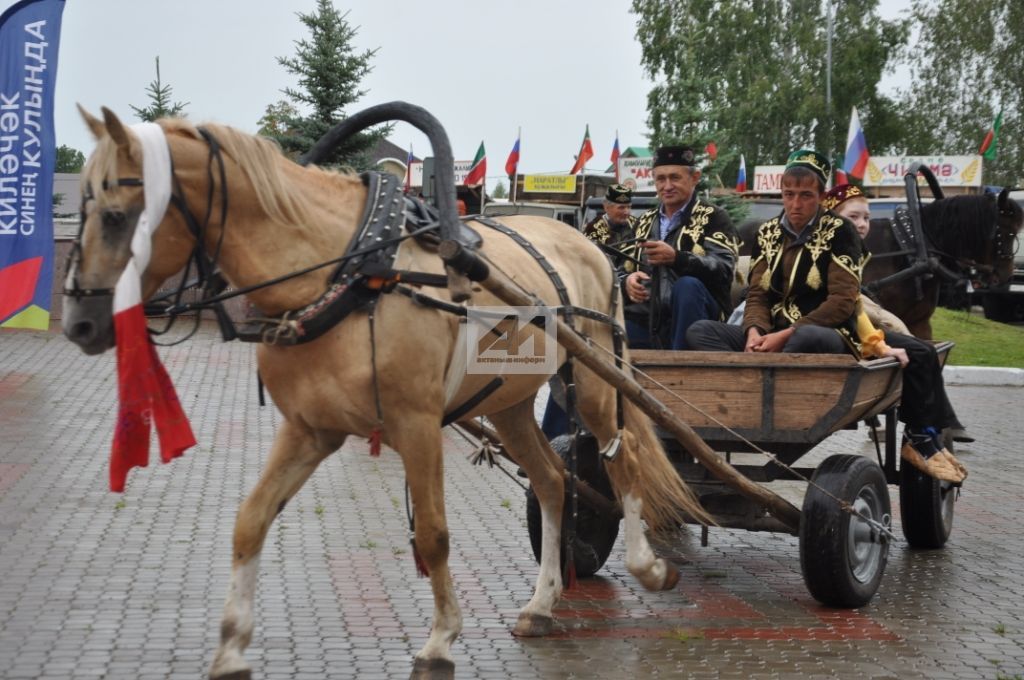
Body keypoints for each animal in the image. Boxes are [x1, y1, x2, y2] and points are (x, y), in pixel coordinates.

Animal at [61, 109, 704, 675]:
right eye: (86, 207)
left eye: (116, 216)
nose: (80, 323)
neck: (349, 274)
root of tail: (590, 247)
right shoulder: (310, 429)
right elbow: (251, 520)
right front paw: (232, 646)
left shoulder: (416, 424)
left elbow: (436, 534)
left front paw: (441, 637)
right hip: (513, 404)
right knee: (550, 480)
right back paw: (542, 603)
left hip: (594, 382)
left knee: (621, 460)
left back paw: (647, 567)